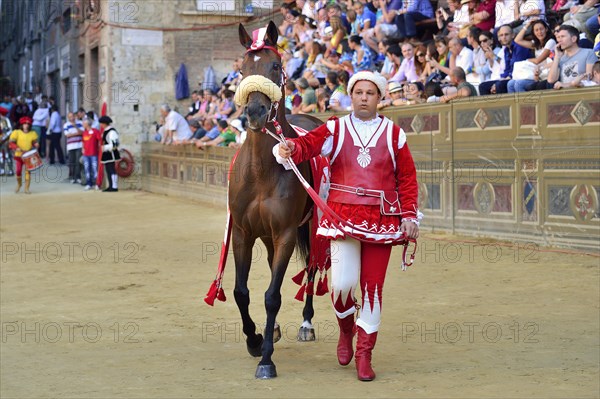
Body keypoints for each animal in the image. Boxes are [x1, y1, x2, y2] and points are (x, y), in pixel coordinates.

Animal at [230, 21, 324, 378]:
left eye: (274, 66)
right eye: (241, 70)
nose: (256, 112)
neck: (262, 171)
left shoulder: (285, 233)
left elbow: (272, 296)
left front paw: (266, 359)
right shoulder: (243, 232)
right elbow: (240, 291)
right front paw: (255, 339)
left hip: (311, 227)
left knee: (312, 268)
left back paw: (306, 324)